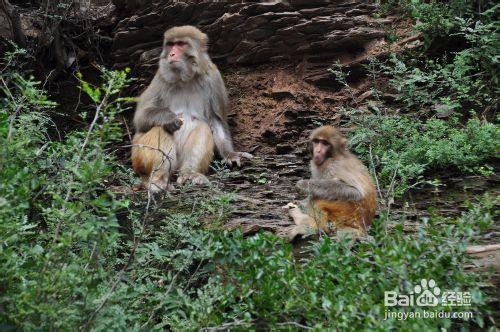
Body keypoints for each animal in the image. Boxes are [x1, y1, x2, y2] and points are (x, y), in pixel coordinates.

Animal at [131, 25, 252, 192]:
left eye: (181, 44)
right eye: (170, 44)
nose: (172, 53)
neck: (185, 79)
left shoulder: (213, 77)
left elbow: (216, 120)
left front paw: (230, 154)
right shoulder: (161, 77)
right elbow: (140, 118)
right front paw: (169, 118)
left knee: (202, 127)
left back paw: (189, 173)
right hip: (138, 156)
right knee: (162, 128)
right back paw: (159, 181)